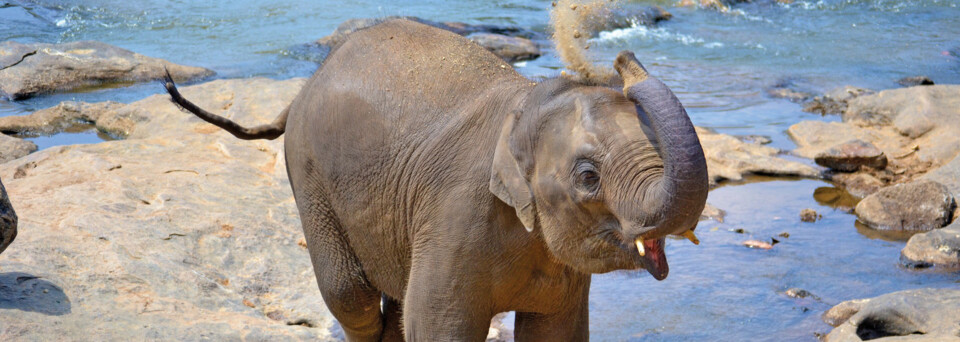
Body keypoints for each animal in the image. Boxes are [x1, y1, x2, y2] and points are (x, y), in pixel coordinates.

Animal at [163, 19, 704, 342]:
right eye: (589, 177)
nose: (623, 59)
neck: (525, 104)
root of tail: (302, 88)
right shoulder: (457, 215)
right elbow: (440, 327)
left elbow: (556, 333)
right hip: (310, 176)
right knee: (350, 297)